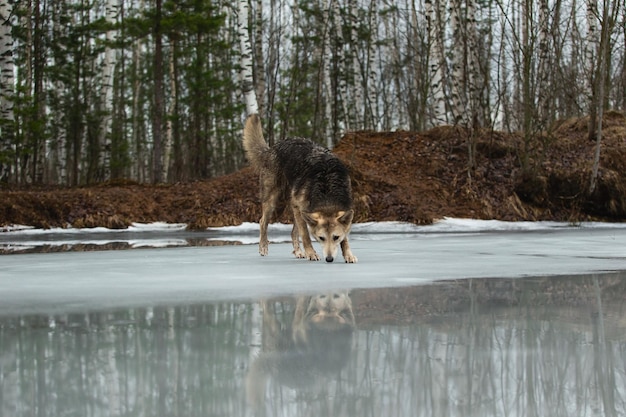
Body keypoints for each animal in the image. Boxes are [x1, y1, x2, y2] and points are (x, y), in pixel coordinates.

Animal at [243, 113, 358, 264]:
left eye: (336, 237)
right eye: (321, 238)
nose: (329, 259)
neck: (327, 187)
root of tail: (272, 148)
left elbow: (345, 239)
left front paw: (348, 255)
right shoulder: (301, 210)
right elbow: (306, 236)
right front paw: (311, 253)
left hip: (295, 209)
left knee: (292, 233)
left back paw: (298, 252)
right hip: (274, 202)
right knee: (263, 222)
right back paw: (263, 247)